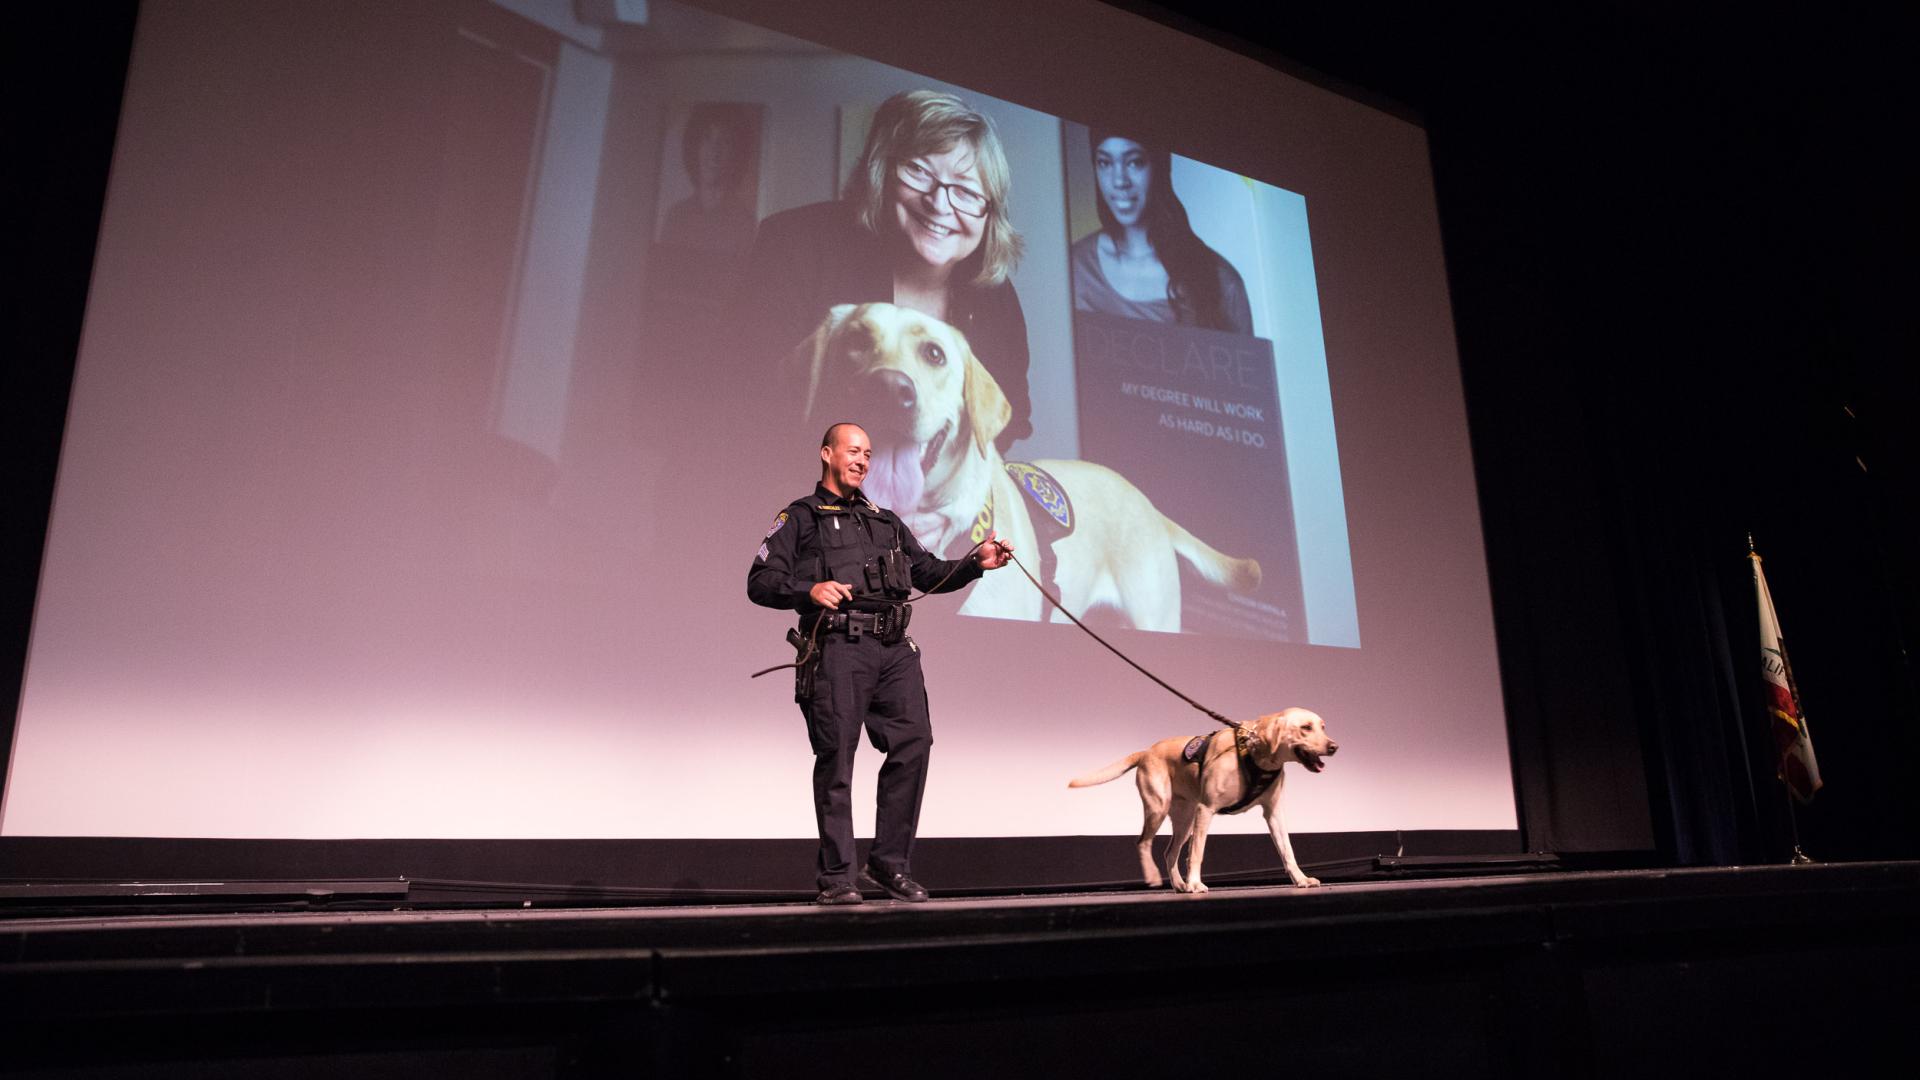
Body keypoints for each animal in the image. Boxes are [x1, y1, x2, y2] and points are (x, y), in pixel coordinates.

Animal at [1067, 703, 1336, 887]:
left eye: (1323, 727)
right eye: (1305, 728)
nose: (1334, 746)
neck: (1255, 751)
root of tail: (1146, 751)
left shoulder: (1274, 812)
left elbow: (1287, 850)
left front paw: (1301, 879)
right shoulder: (1207, 809)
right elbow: (1197, 852)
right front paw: (1196, 883)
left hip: (1185, 820)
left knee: (1170, 852)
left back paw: (1180, 885)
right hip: (1159, 808)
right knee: (1143, 842)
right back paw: (1159, 878)